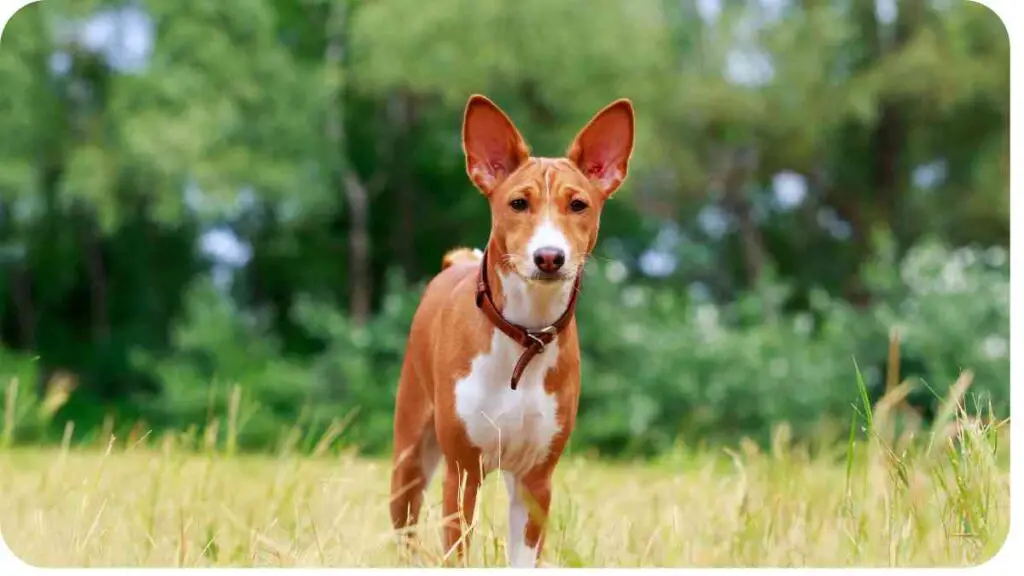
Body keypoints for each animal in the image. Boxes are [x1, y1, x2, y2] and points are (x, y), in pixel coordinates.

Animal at [389, 91, 634, 561]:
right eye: (518, 203)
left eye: (578, 205)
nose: (549, 256)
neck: (525, 337)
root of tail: (455, 264)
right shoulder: (461, 473)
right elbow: (456, 554)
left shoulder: (536, 478)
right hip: (410, 454)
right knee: (404, 532)